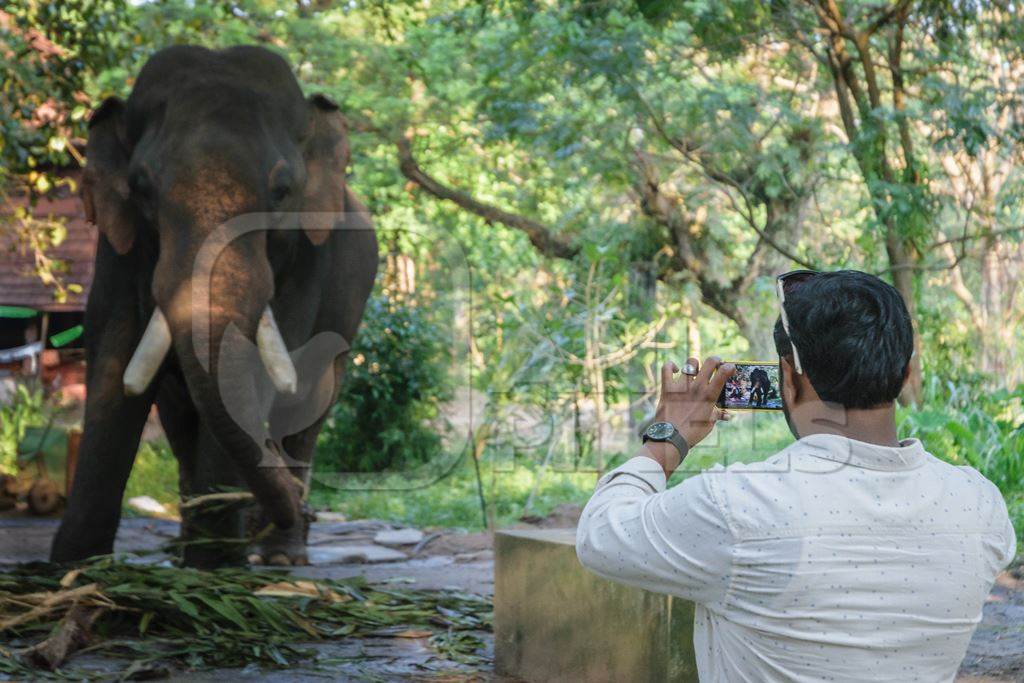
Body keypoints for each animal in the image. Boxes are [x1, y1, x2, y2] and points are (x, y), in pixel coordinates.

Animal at [49, 42, 378, 565]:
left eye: (282, 191)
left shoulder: (309, 255)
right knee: (181, 415)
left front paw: (216, 565)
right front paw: (73, 564)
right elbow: (113, 351)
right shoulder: (118, 246)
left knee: (308, 405)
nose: (302, 512)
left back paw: (277, 552)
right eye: (141, 188)